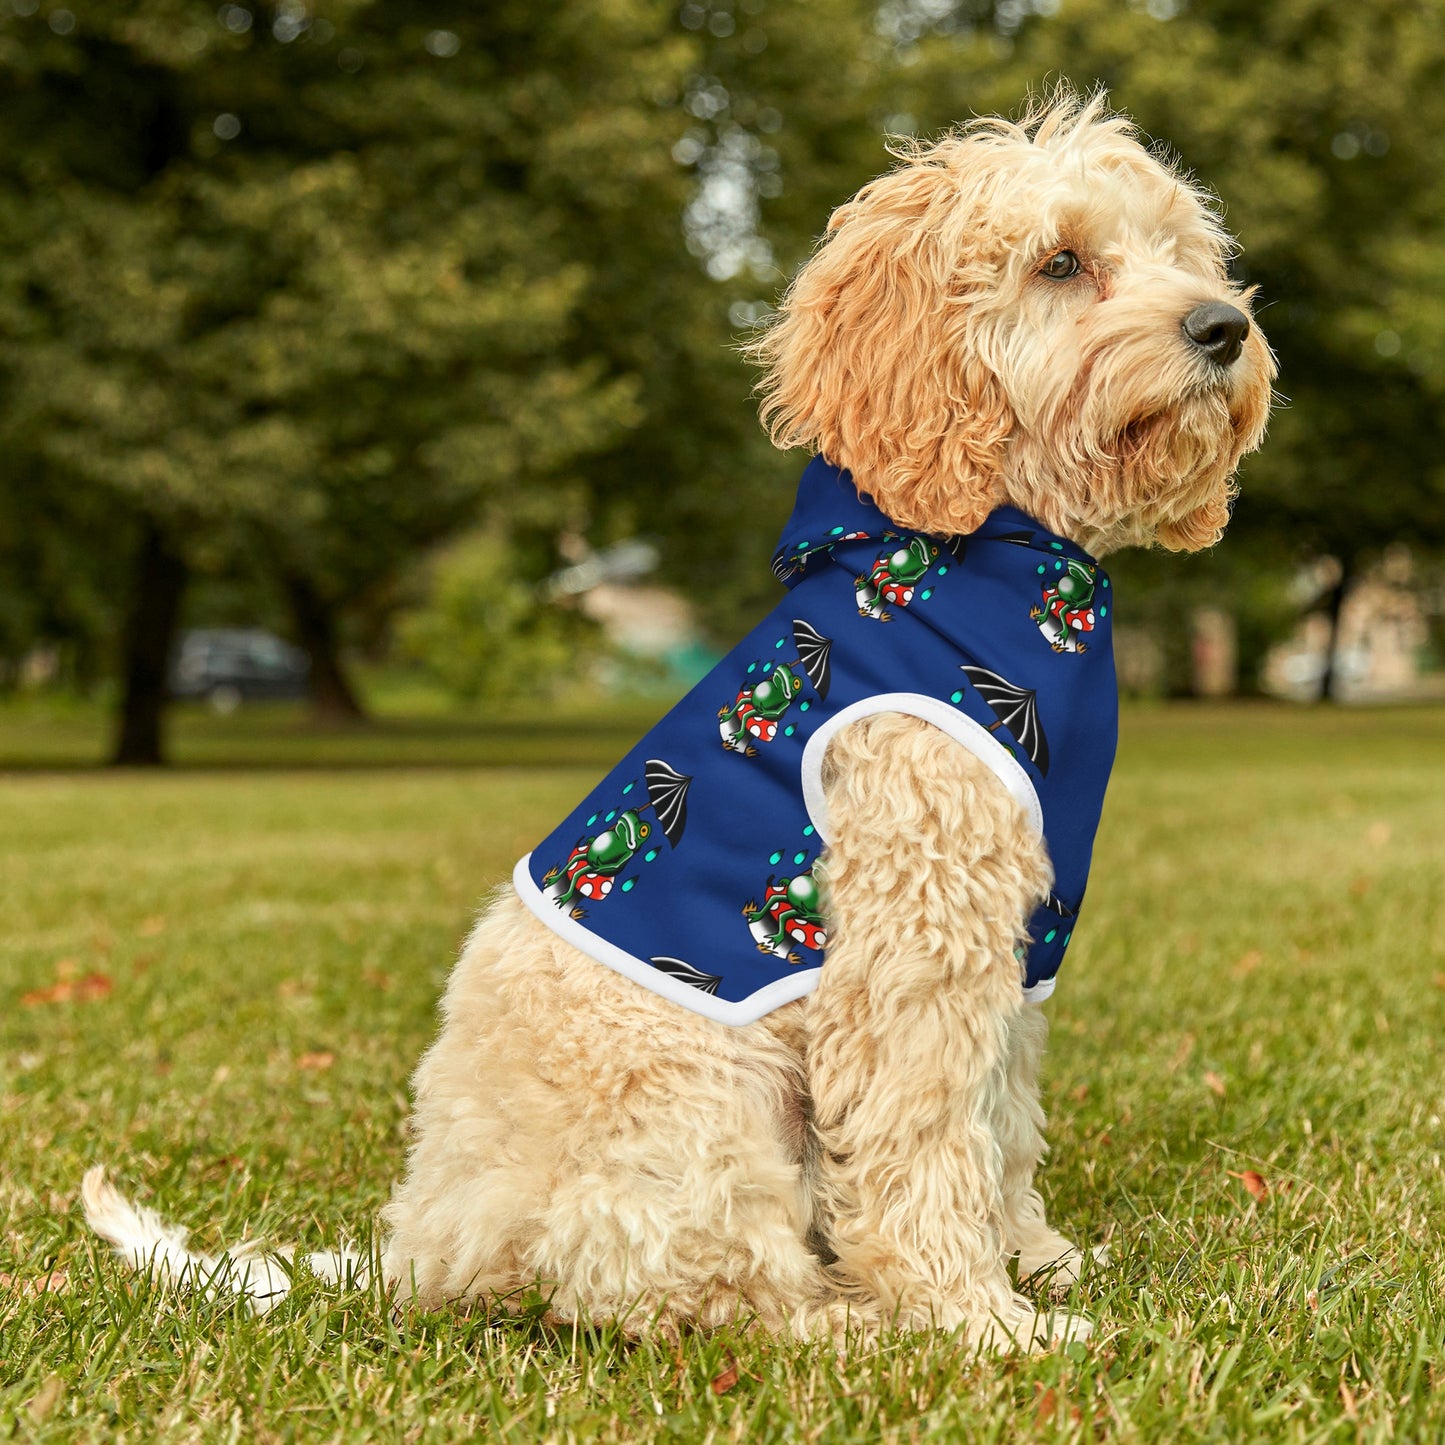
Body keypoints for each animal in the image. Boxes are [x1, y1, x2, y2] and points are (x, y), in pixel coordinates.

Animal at [84, 93, 1271, 1352]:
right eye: (1059, 262)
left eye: (1180, 252)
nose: (1222, 327)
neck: (987, 556)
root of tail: (423, 1246)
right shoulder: (912, 941)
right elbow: (924, 1138)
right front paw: (977, 1318)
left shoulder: (1013, 945)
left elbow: (998, 1122)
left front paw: (1035, 1260)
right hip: (704, 1101)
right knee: (700, 1291)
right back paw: (852, 1322)